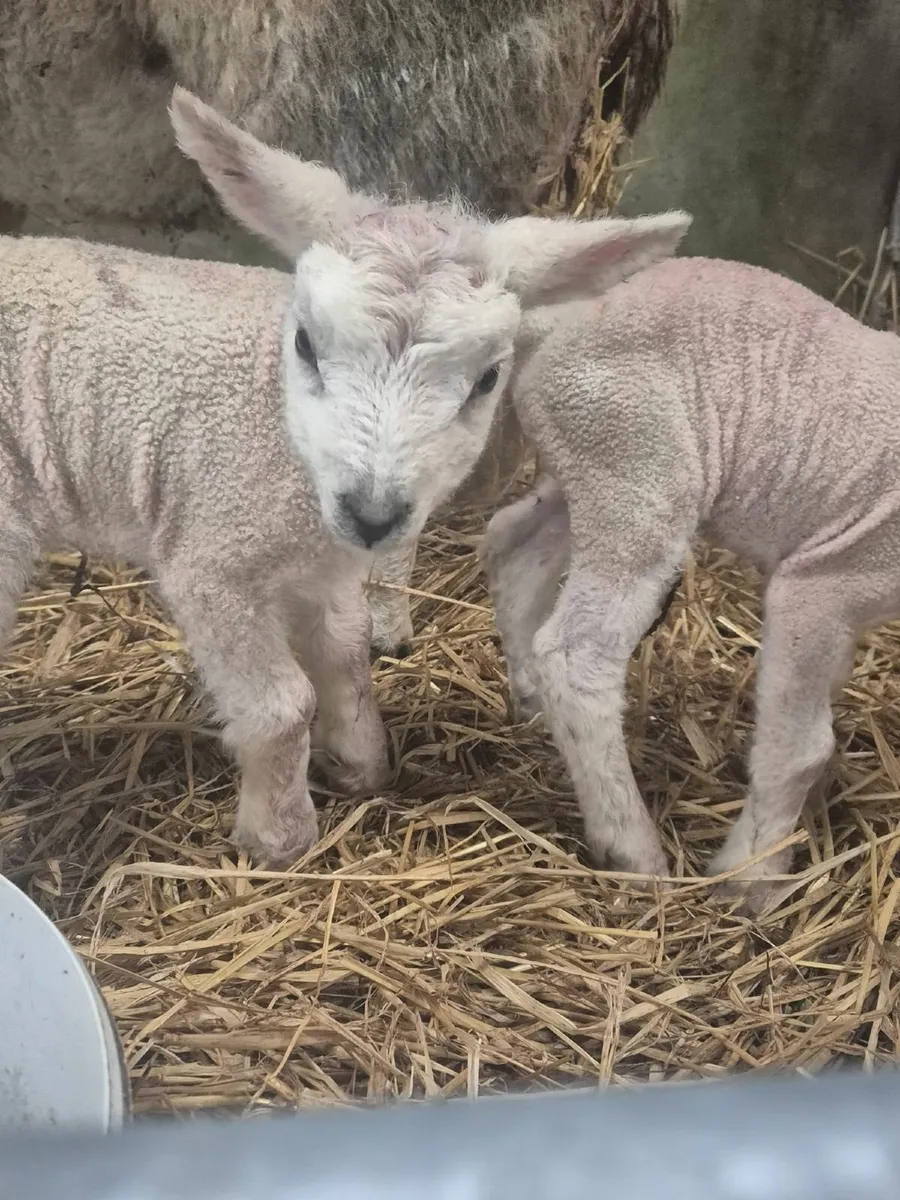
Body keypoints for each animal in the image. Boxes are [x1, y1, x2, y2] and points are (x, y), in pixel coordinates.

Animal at [0, 86, 673, 865]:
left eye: (487, 379)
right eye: (304, 343)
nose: (374, 513)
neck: (278, 432)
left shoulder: (322, 564)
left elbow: (348, 648)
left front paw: (360, 762)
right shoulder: (212, 558)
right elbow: (280, 706)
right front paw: (281, 837)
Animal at [480, 240, 900, 912]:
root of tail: (551, 324)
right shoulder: (824, 584)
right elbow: (800, 748)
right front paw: (749, 882)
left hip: (594, 470)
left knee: (513, 544)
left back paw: (533, 709)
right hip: (637, 463)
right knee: (577, 654)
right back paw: (633, 851)